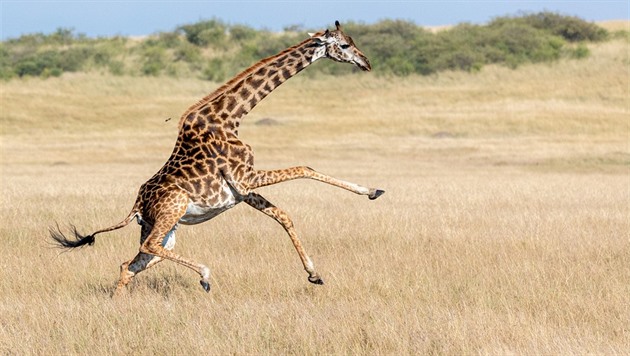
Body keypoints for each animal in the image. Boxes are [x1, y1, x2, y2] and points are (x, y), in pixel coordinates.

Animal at [50, 21, 386, 294]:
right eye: (344, 45)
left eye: (353, 40)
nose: (366, 62)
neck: (231, 118)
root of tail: (136, 206)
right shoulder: (245, 178)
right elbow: (305, 167)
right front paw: (370, 190)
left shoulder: (242, 190)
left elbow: (283, 215)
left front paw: (314, 274)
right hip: (173, 210)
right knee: (147, 250)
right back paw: (205, 275)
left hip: (165, 228)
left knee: (131, 264)